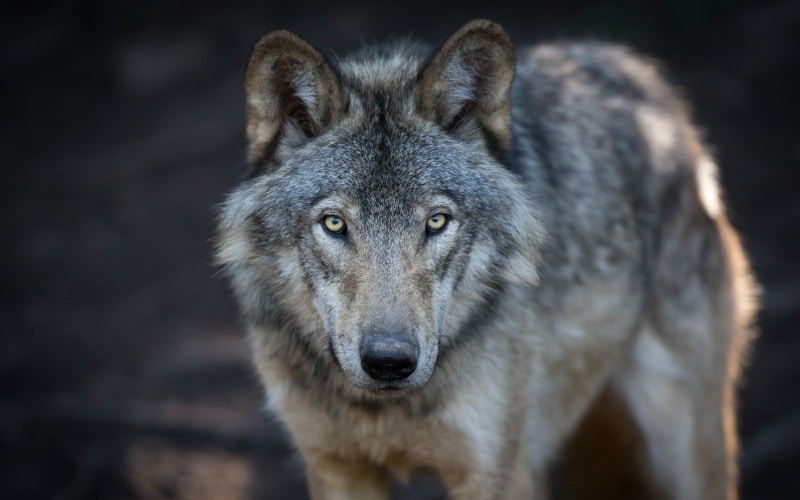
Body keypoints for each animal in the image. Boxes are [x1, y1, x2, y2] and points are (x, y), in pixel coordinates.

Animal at [215, 19, 757, 500]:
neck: (383, 410)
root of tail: (638, 74)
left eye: (436, 221)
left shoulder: (495, 472)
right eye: (333, 224)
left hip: (682, 446)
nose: (389, 362)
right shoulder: (336, 466)